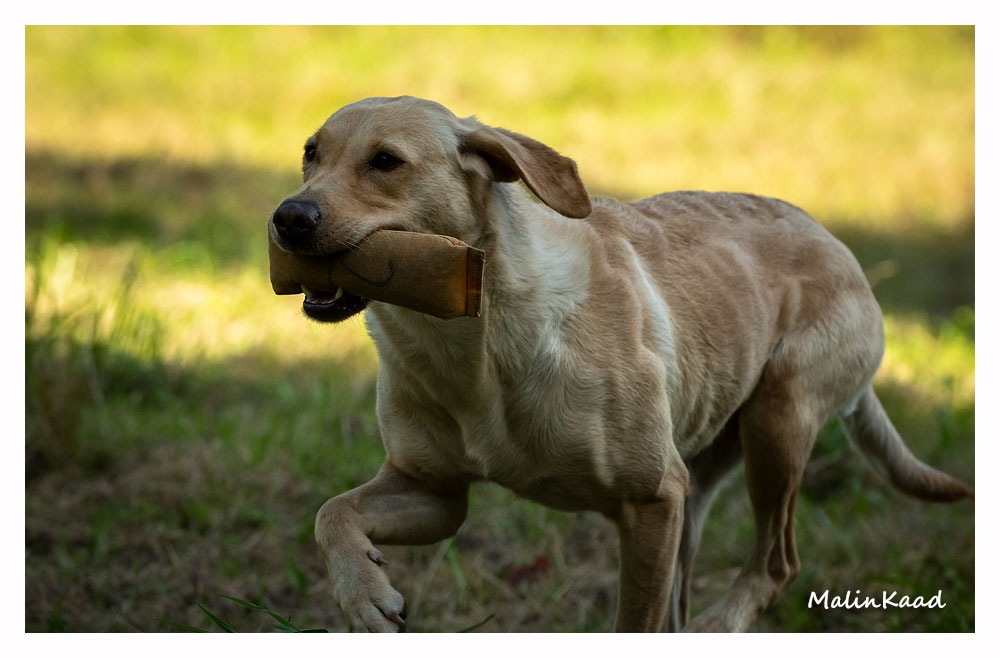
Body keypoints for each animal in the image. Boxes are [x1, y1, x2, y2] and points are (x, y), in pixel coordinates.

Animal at [268, 96, 973, 632]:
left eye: (386, 161)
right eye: (310, 153)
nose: (288, 217)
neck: (472, 339)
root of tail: (840, 246)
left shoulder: (651, 498)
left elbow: (635, 620)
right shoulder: (434, 491)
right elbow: (331, 513)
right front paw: (364, 596)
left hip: (777, 423)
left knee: (775, 563)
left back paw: (721, 623)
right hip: (700, 483)